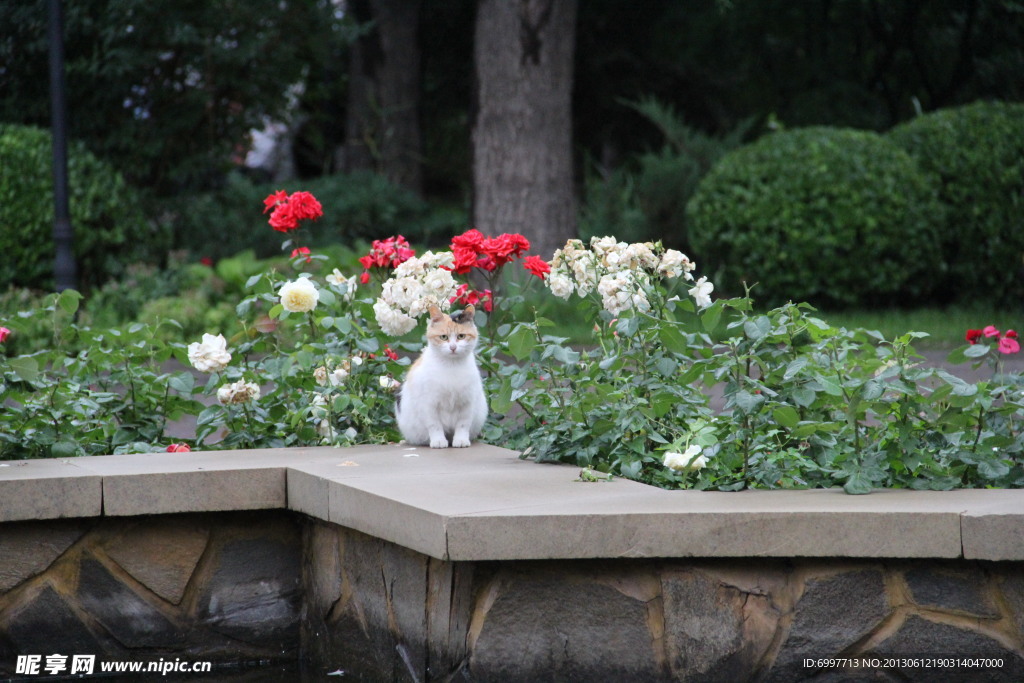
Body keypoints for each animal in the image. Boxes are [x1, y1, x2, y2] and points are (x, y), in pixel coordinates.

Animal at [395, 305, 487, 448]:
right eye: (444, 337)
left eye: (461, 336)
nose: (453, 347)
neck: (451, 366)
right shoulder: (429, 404)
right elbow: (435, 425)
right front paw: (438, 441)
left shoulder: (467, 402)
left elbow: (463, 424)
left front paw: (461, 440)